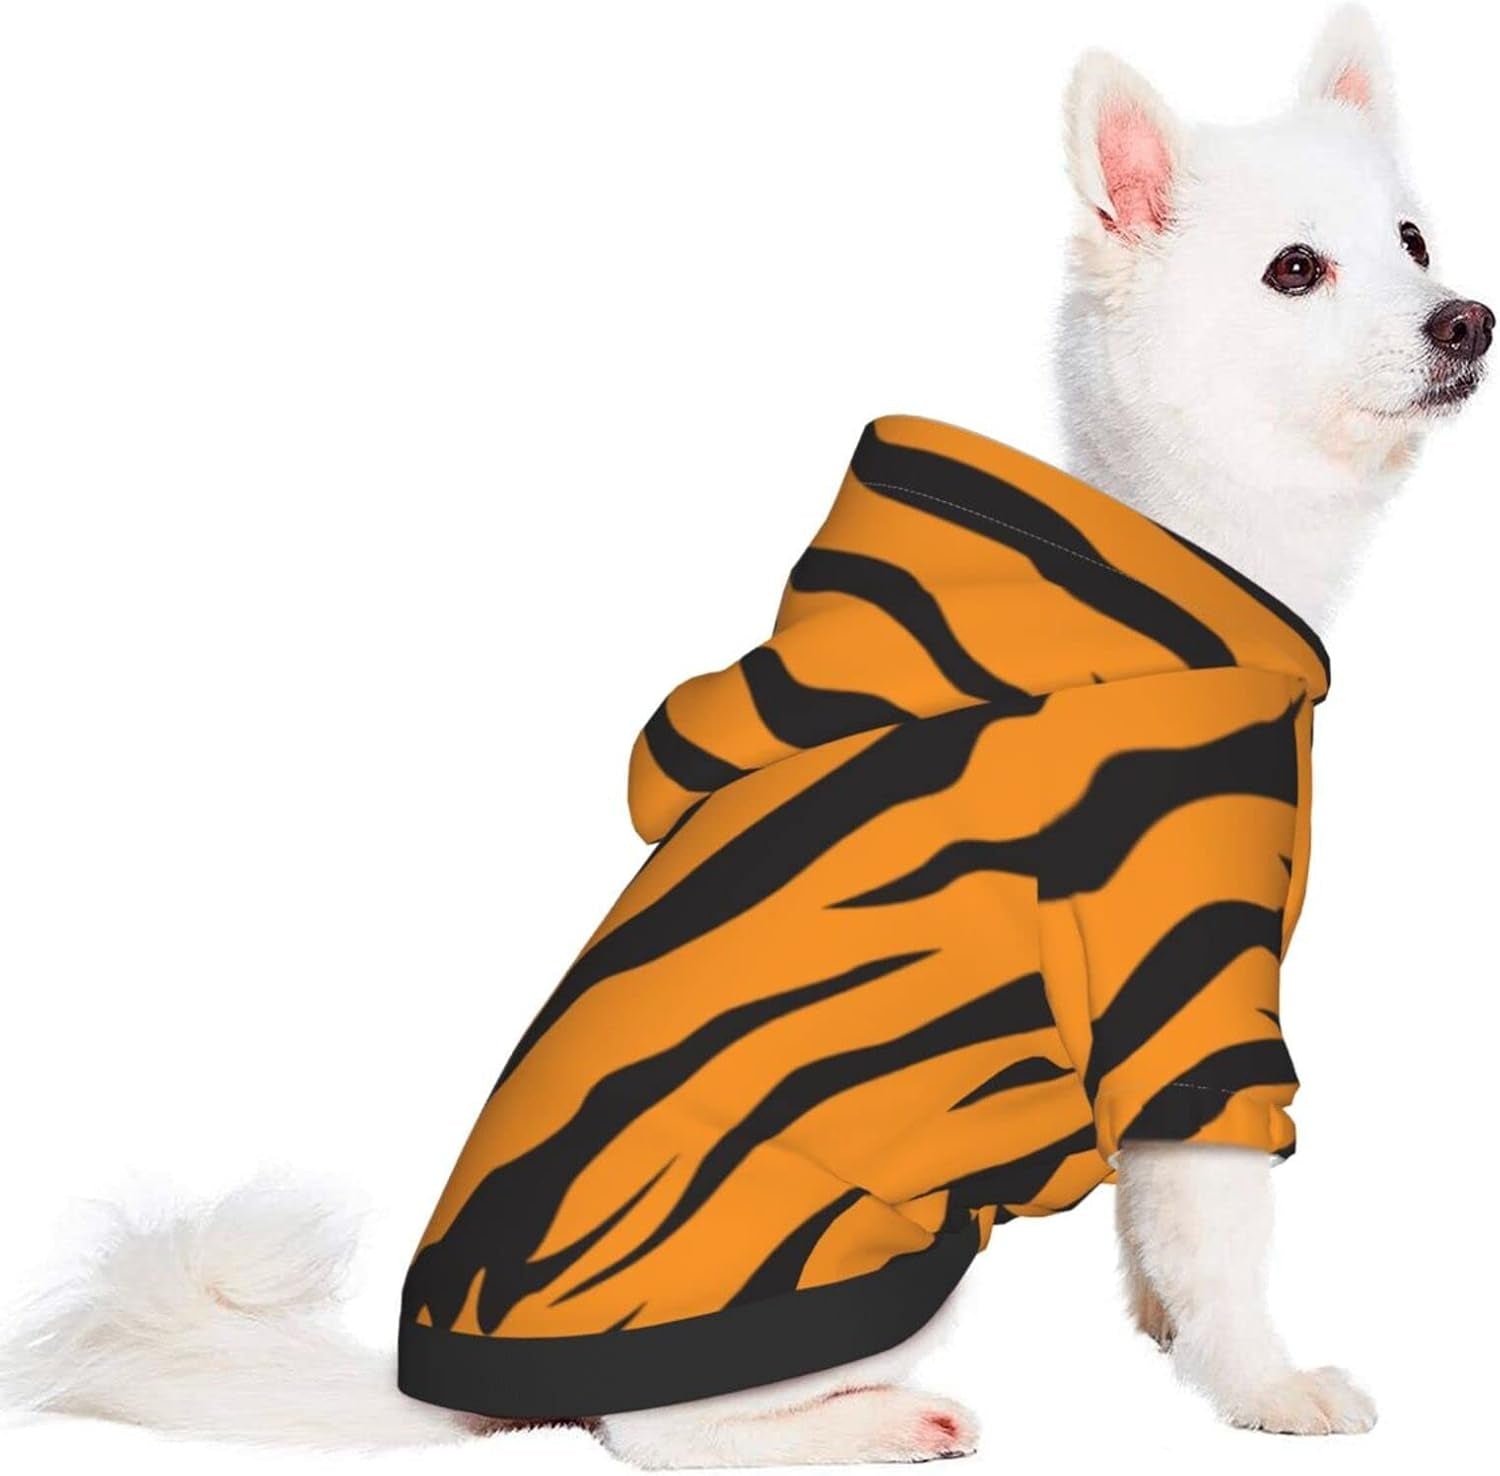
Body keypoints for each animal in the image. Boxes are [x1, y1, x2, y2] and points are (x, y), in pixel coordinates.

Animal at [397, 412, 1329, 1421]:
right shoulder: (1186, 990)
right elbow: (1220, 1237)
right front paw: (1270, 1389)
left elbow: (1149, 1217)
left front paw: (1165, 1329)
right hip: (896, 1253)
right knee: (669, 1426)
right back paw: (892, 1421)